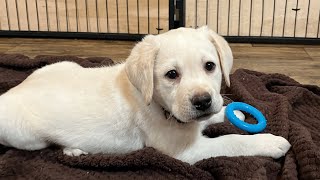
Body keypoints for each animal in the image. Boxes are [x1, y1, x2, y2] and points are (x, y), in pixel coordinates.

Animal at [0, 26, 290, 165]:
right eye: (171, 75)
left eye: (210, 66)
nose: (202, 101)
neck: (160, 106)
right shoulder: (186, 152)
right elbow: (230, 142)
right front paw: (270, 142)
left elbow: (210, 119)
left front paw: (232, 112)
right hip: (27, 138)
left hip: (63, 64)